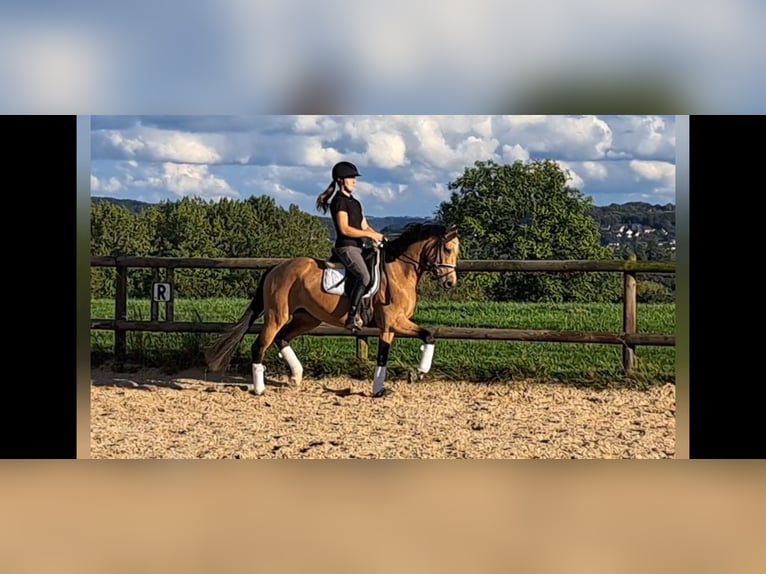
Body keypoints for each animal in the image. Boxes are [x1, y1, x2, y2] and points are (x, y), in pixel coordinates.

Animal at [201, 223, 462, 398]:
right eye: (448, 249)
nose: (450, 283)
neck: (399, 269)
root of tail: (277, 268)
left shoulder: (396, 324)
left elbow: (424, 336)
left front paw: (413, 375)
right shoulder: (391, 323)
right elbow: (394, 351)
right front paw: (389, 385)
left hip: (308, 318)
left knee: (282, 338)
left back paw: (296, 376)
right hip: (277, 316)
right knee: (261, 344)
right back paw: (260, 389)